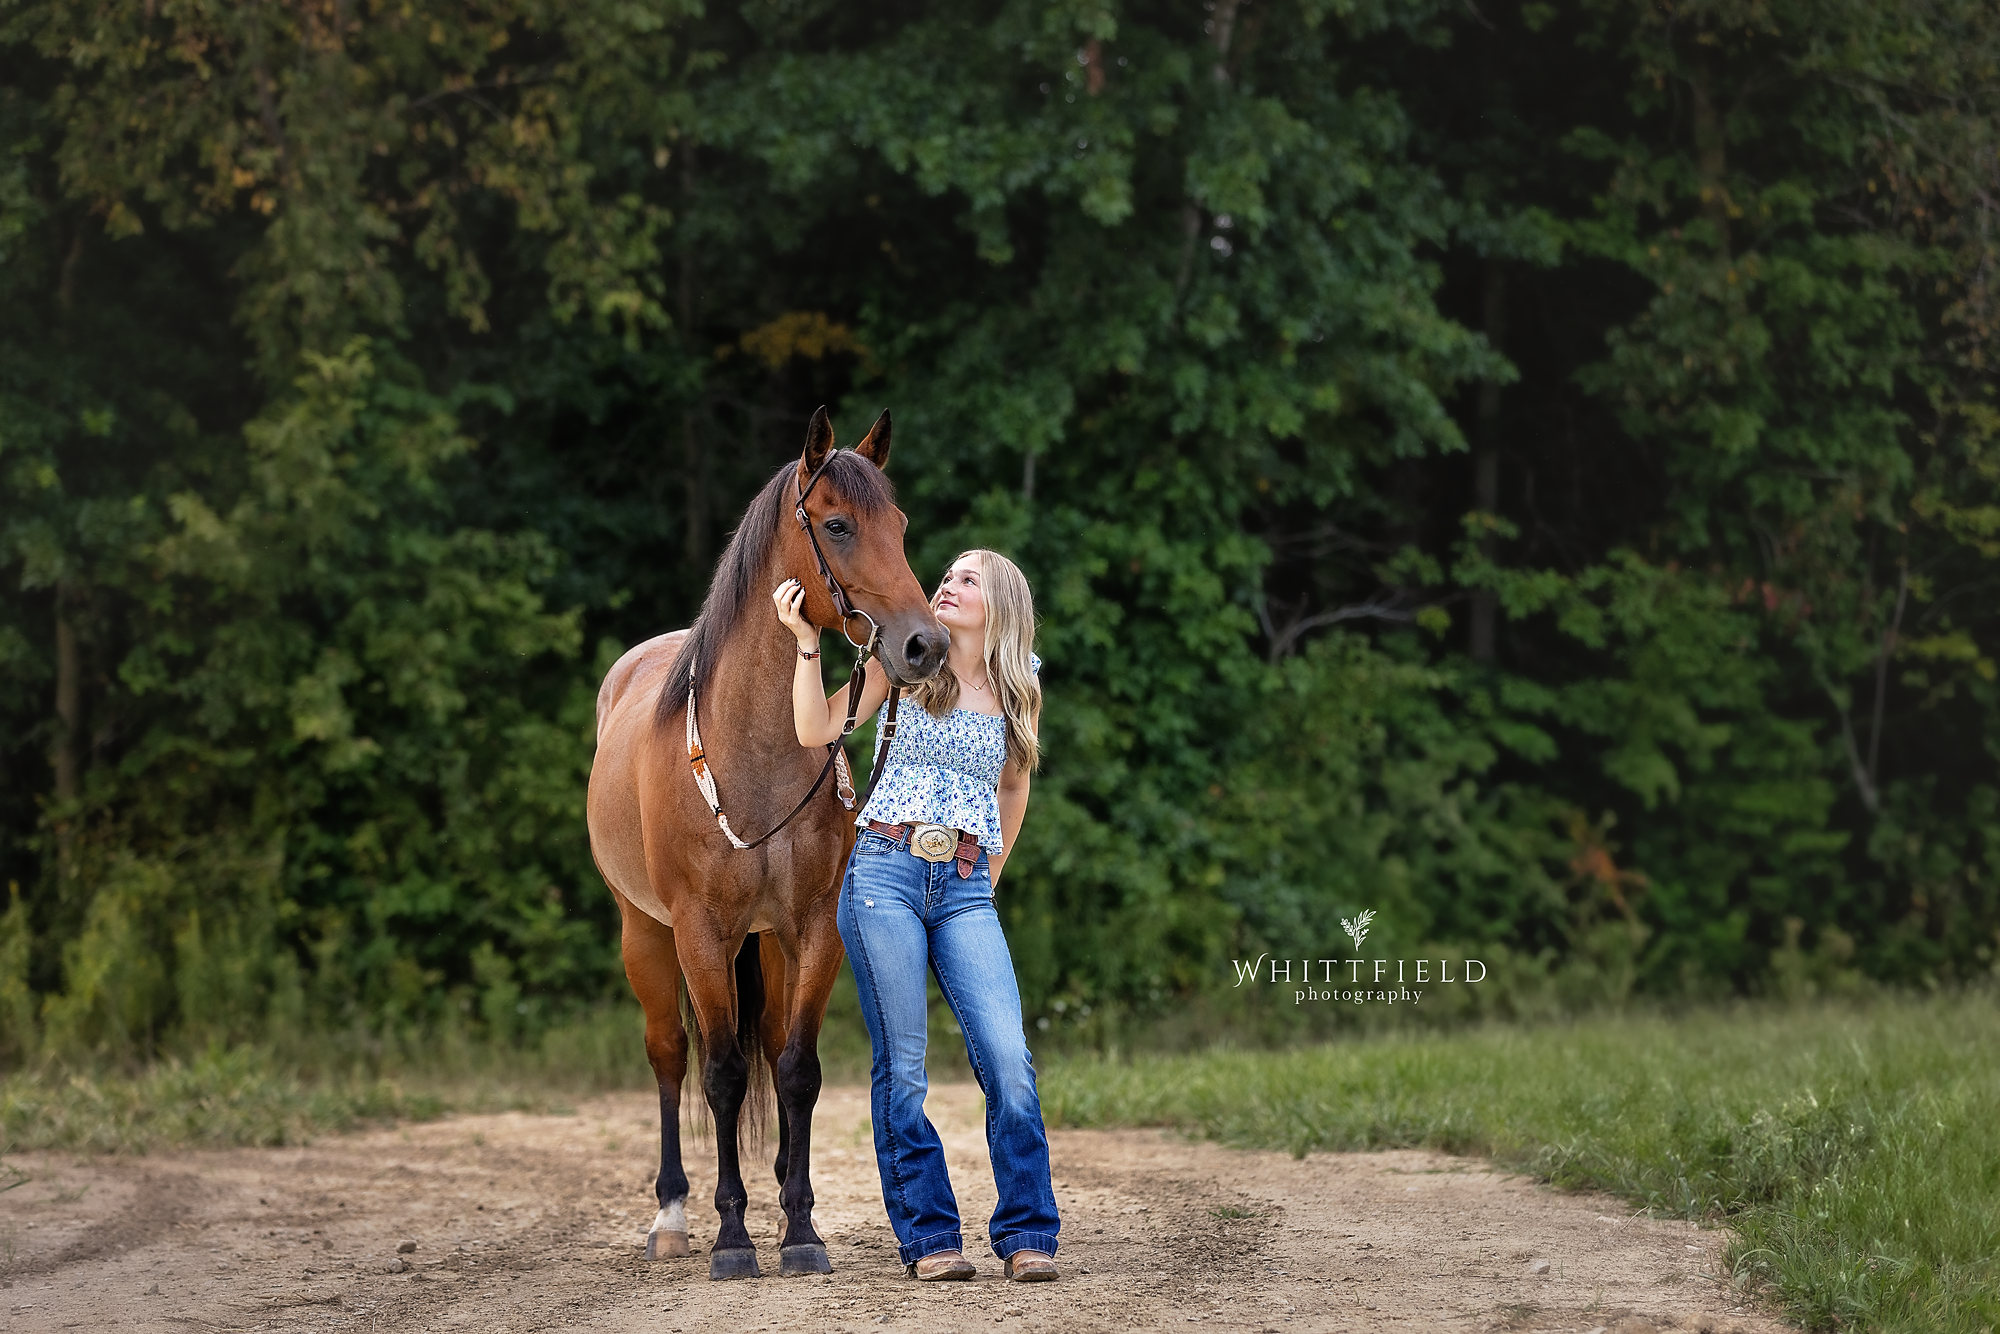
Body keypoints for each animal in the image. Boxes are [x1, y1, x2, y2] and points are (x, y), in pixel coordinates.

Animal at [587, 407, 947, 1280]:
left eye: (900, 524)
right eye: (839, 525)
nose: (924, 646)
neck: (755, 752)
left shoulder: (813, 929)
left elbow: (798, 1070)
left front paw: (802, 1228)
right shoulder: (700, 935)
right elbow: (719, 1075)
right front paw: (732, 1239)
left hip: (771, 946)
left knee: (777, 1048)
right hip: (644, 934)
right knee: (669, 1054)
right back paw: (673, 1217)